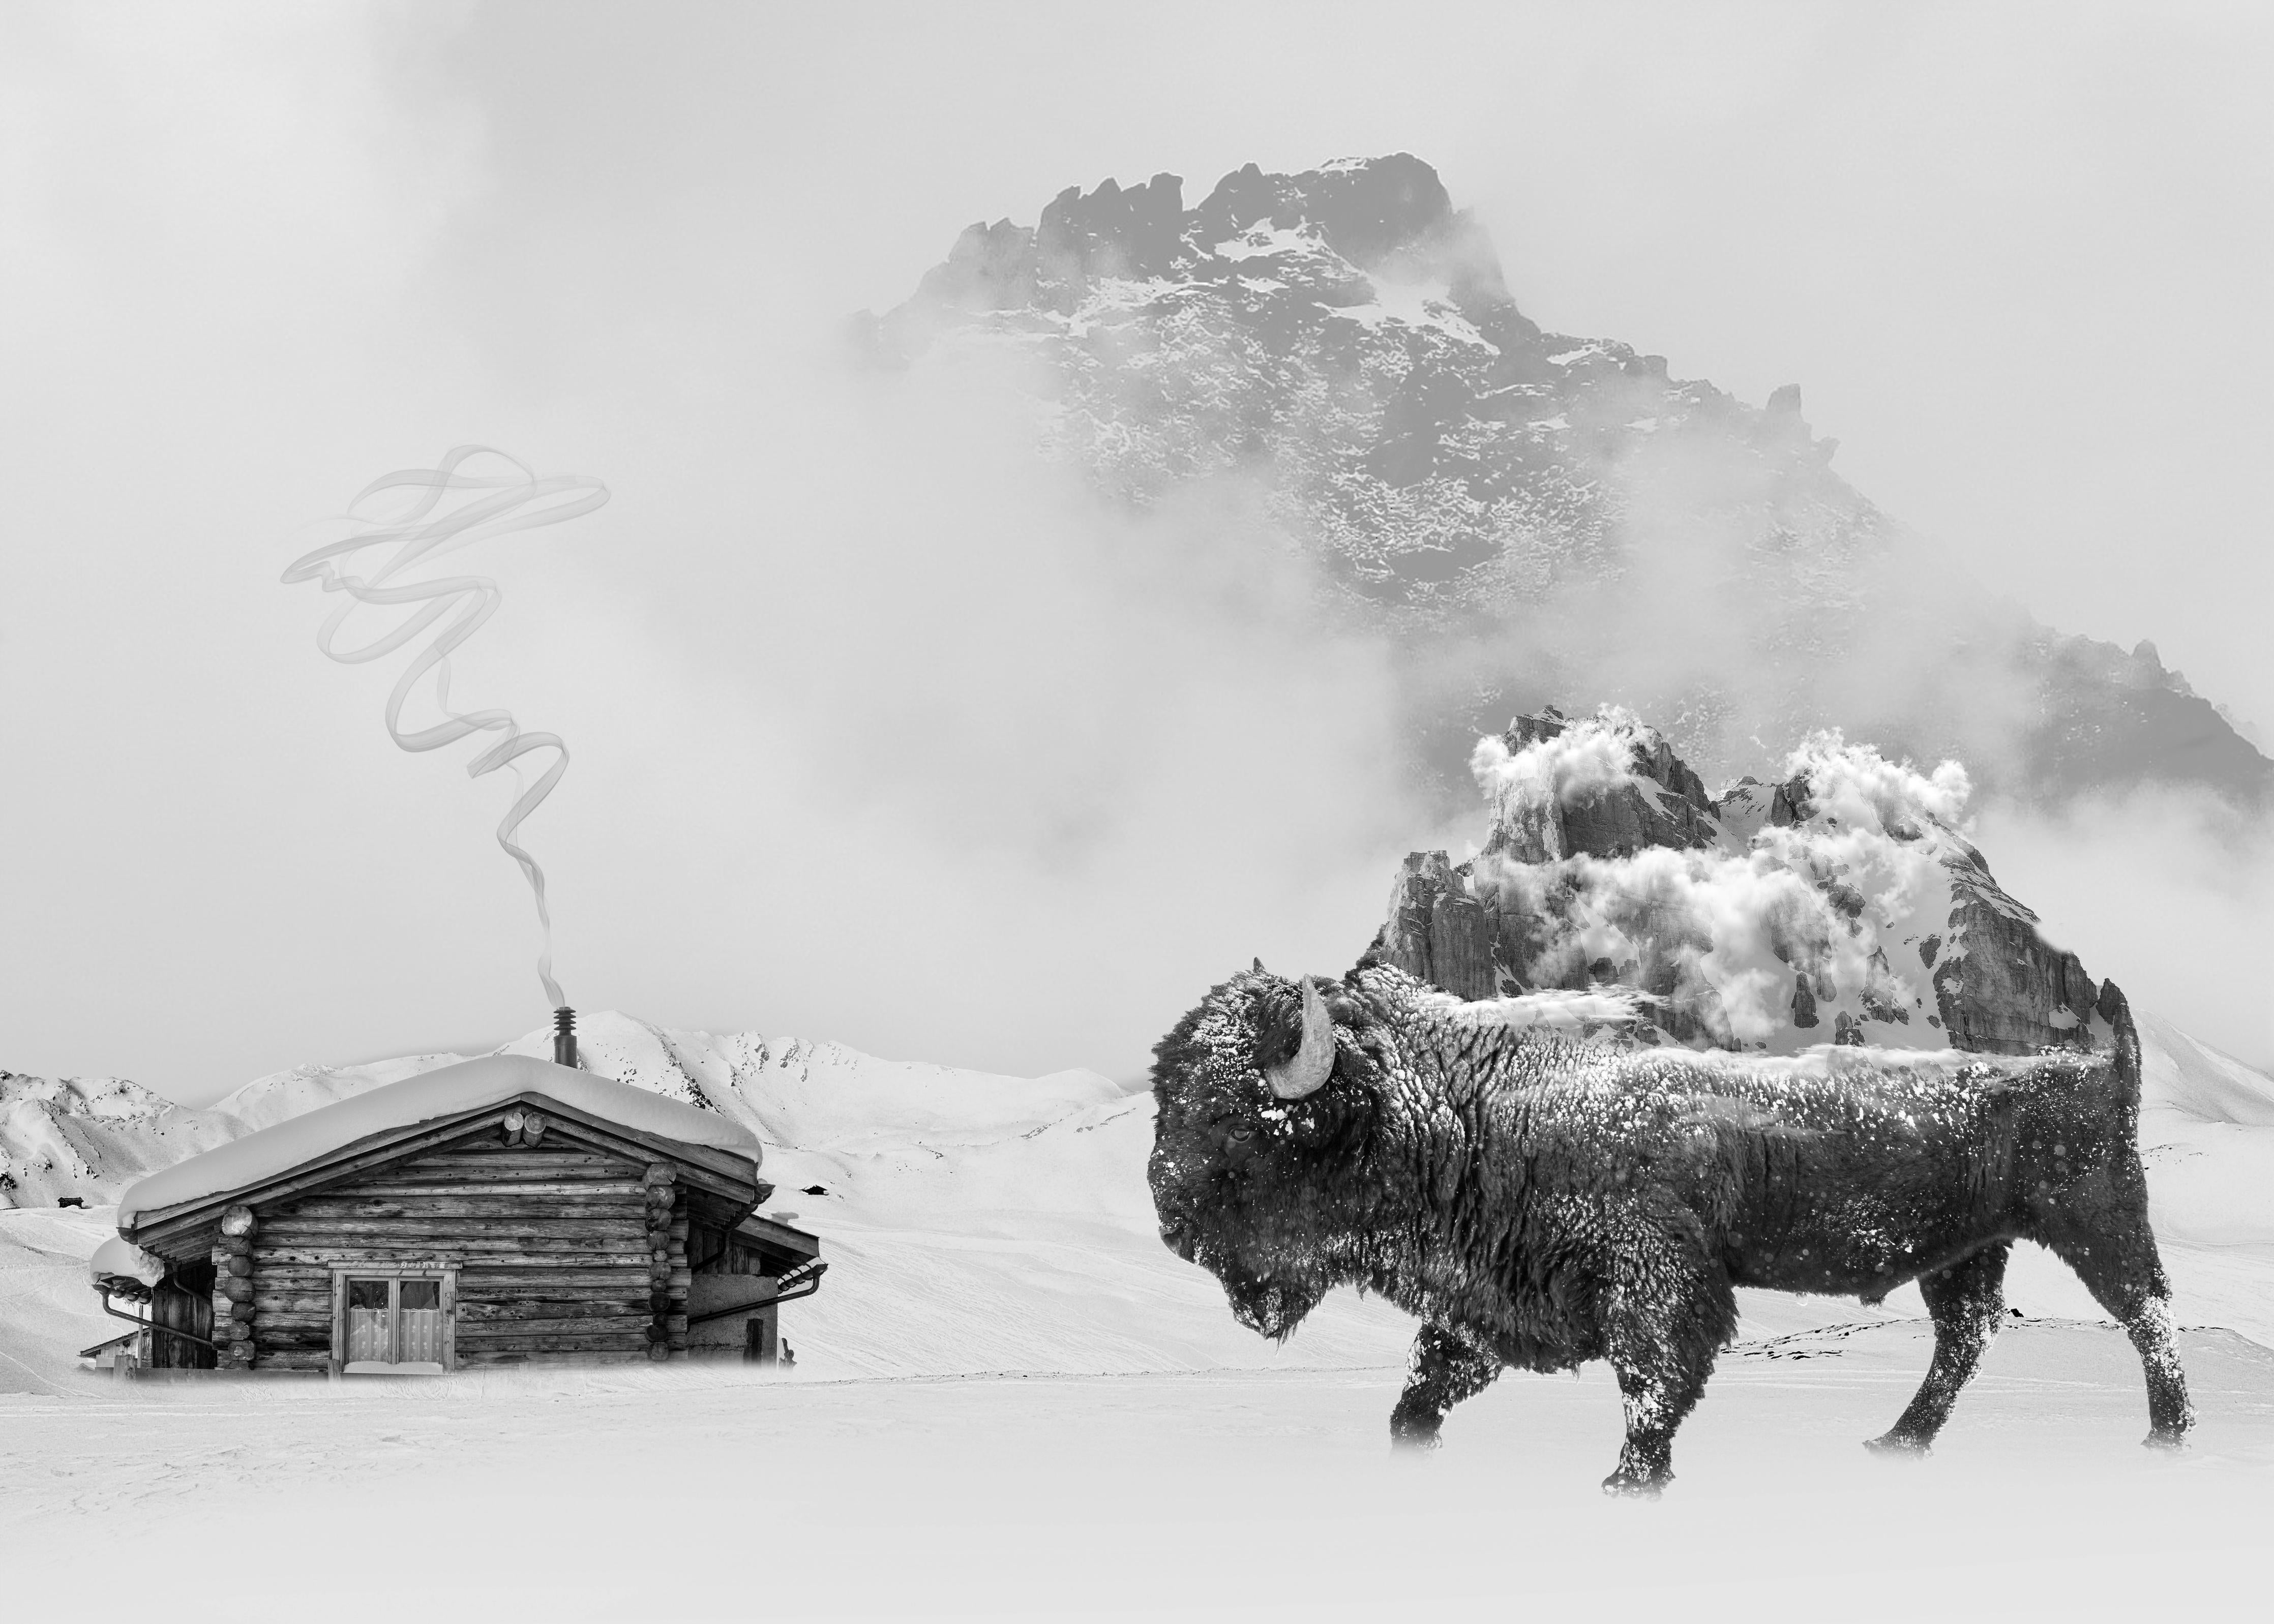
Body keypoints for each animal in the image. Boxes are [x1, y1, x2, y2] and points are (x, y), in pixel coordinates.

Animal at [1148, 962, 2192, 1495]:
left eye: (1239, 1120)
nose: (1166, 1210)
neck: (1472, 1094)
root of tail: (2098, 1060)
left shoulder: (1653, 1279)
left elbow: (1652, 1384)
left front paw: (1627, 1480)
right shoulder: (1488, 1299)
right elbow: (1422, 1391)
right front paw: (1416, 1449)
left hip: (2094, 1218)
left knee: (2148, 1316)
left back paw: (2167, 1435)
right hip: (1969, 1249)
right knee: (1964, 1340)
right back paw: (1895, 1442)